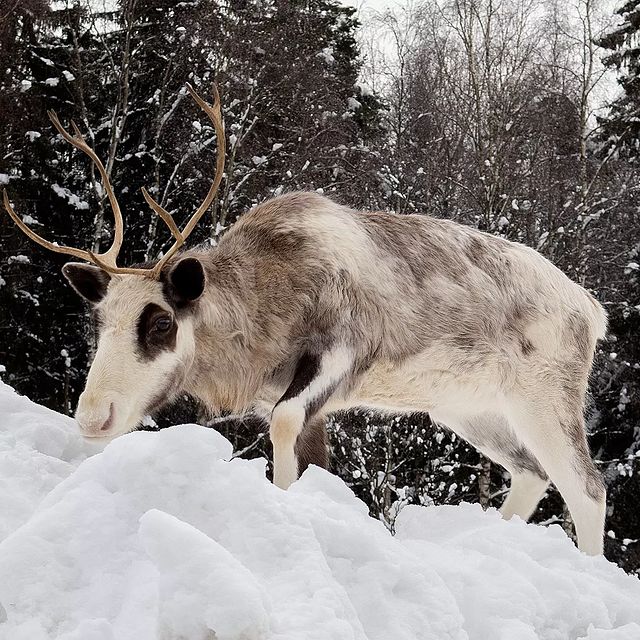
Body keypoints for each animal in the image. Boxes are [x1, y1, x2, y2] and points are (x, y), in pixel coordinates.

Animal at [3, 84, 608, 555]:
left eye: (160, 322)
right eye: (99, 321)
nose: (93, 417)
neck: (263, 314)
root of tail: (593, 310)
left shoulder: (340, 356)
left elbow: (284, 428)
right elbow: (316, 462)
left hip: (544, 399)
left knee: (587, 487)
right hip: (470, 409)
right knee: (531, 472)